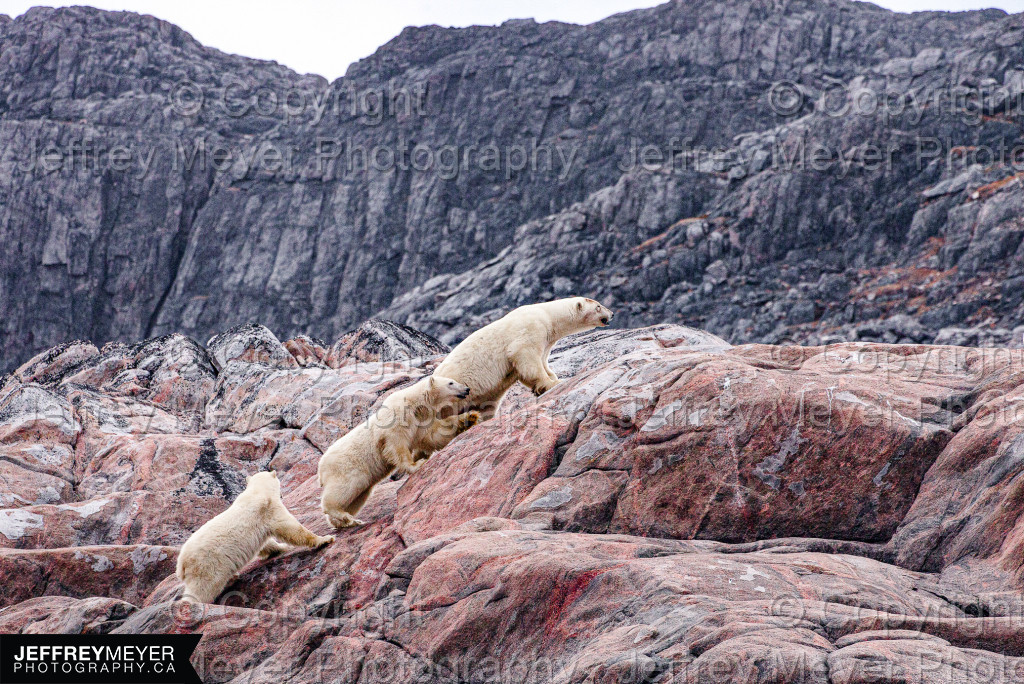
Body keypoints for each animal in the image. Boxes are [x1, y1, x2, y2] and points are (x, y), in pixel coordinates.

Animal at [176, 471, 333, 603]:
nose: (283, 495)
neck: (257, 491)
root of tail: (181, 563)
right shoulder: (269, 509)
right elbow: (289, 527)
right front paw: (325, 539)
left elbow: (267, 543)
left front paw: (281, 548)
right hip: (209, 564)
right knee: (203, 589)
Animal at [319, 375, 474, 528]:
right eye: (451, 383)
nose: (467, 389)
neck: (414, 403)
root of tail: (321, 468)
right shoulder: (396, 419)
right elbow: (397, 444)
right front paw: (417, 464)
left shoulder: (420, 421)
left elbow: (432, 435)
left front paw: (469, 418)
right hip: (347, 467)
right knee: (344, 489)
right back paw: (343, 515)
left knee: (359, 494)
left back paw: (348, 521)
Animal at [432, 296, 614, 424]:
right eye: (598, 306)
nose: (611, 313)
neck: (547, 314)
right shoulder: (531, 329)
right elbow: (525, 356)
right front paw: (552, 383)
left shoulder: (547, 339)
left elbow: (540, 362)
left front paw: (550, 380)